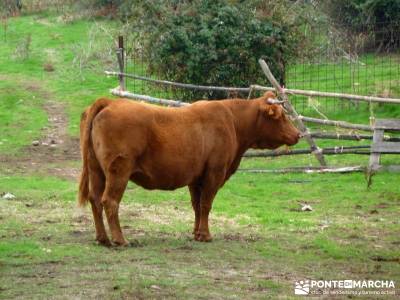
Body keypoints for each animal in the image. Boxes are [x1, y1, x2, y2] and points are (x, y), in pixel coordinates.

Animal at [78, 92, 298, 246]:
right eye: (281, 117)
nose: (297, 134)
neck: (233, 121)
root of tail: (110, 102)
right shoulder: (215, 172)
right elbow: (206, 204)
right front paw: (206, 235)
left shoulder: (195, 177)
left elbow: (197, 205)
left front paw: (196, 233)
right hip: (119, 171)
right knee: (110, 201)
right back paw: (120, 239)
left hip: (96, 170)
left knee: (95, 199)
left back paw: (102, 238)